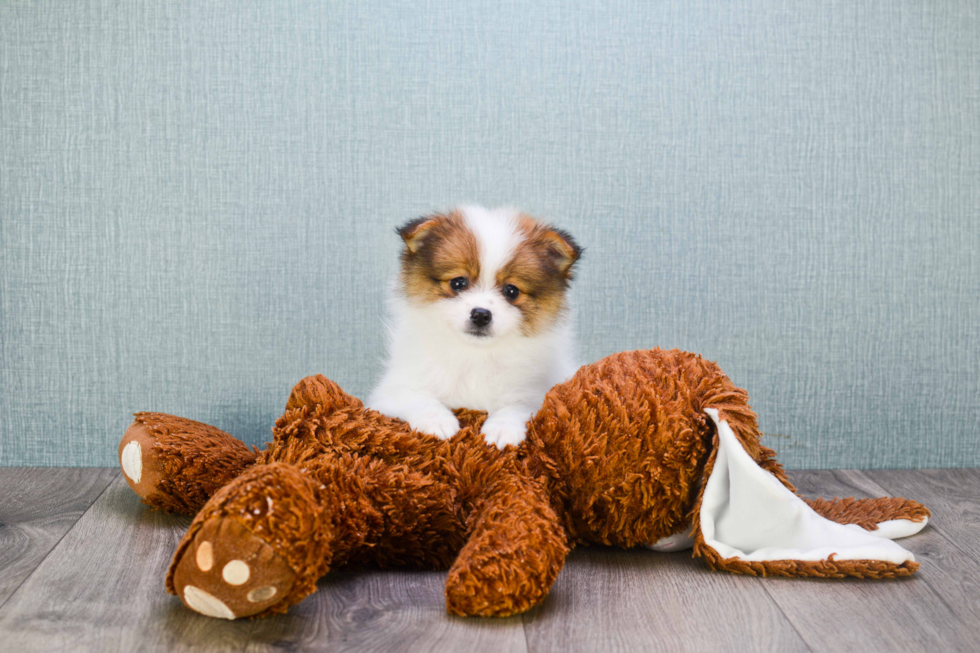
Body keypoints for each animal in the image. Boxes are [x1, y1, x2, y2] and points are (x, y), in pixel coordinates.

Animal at [368, 205, 580, 448]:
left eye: (511, 291)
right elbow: (418, 398)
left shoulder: (535, 392)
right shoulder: (390, 391)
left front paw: (501, 429)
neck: (474, 354)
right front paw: (438, 422)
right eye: (458, 283)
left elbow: (516, 406)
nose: (480, 314)